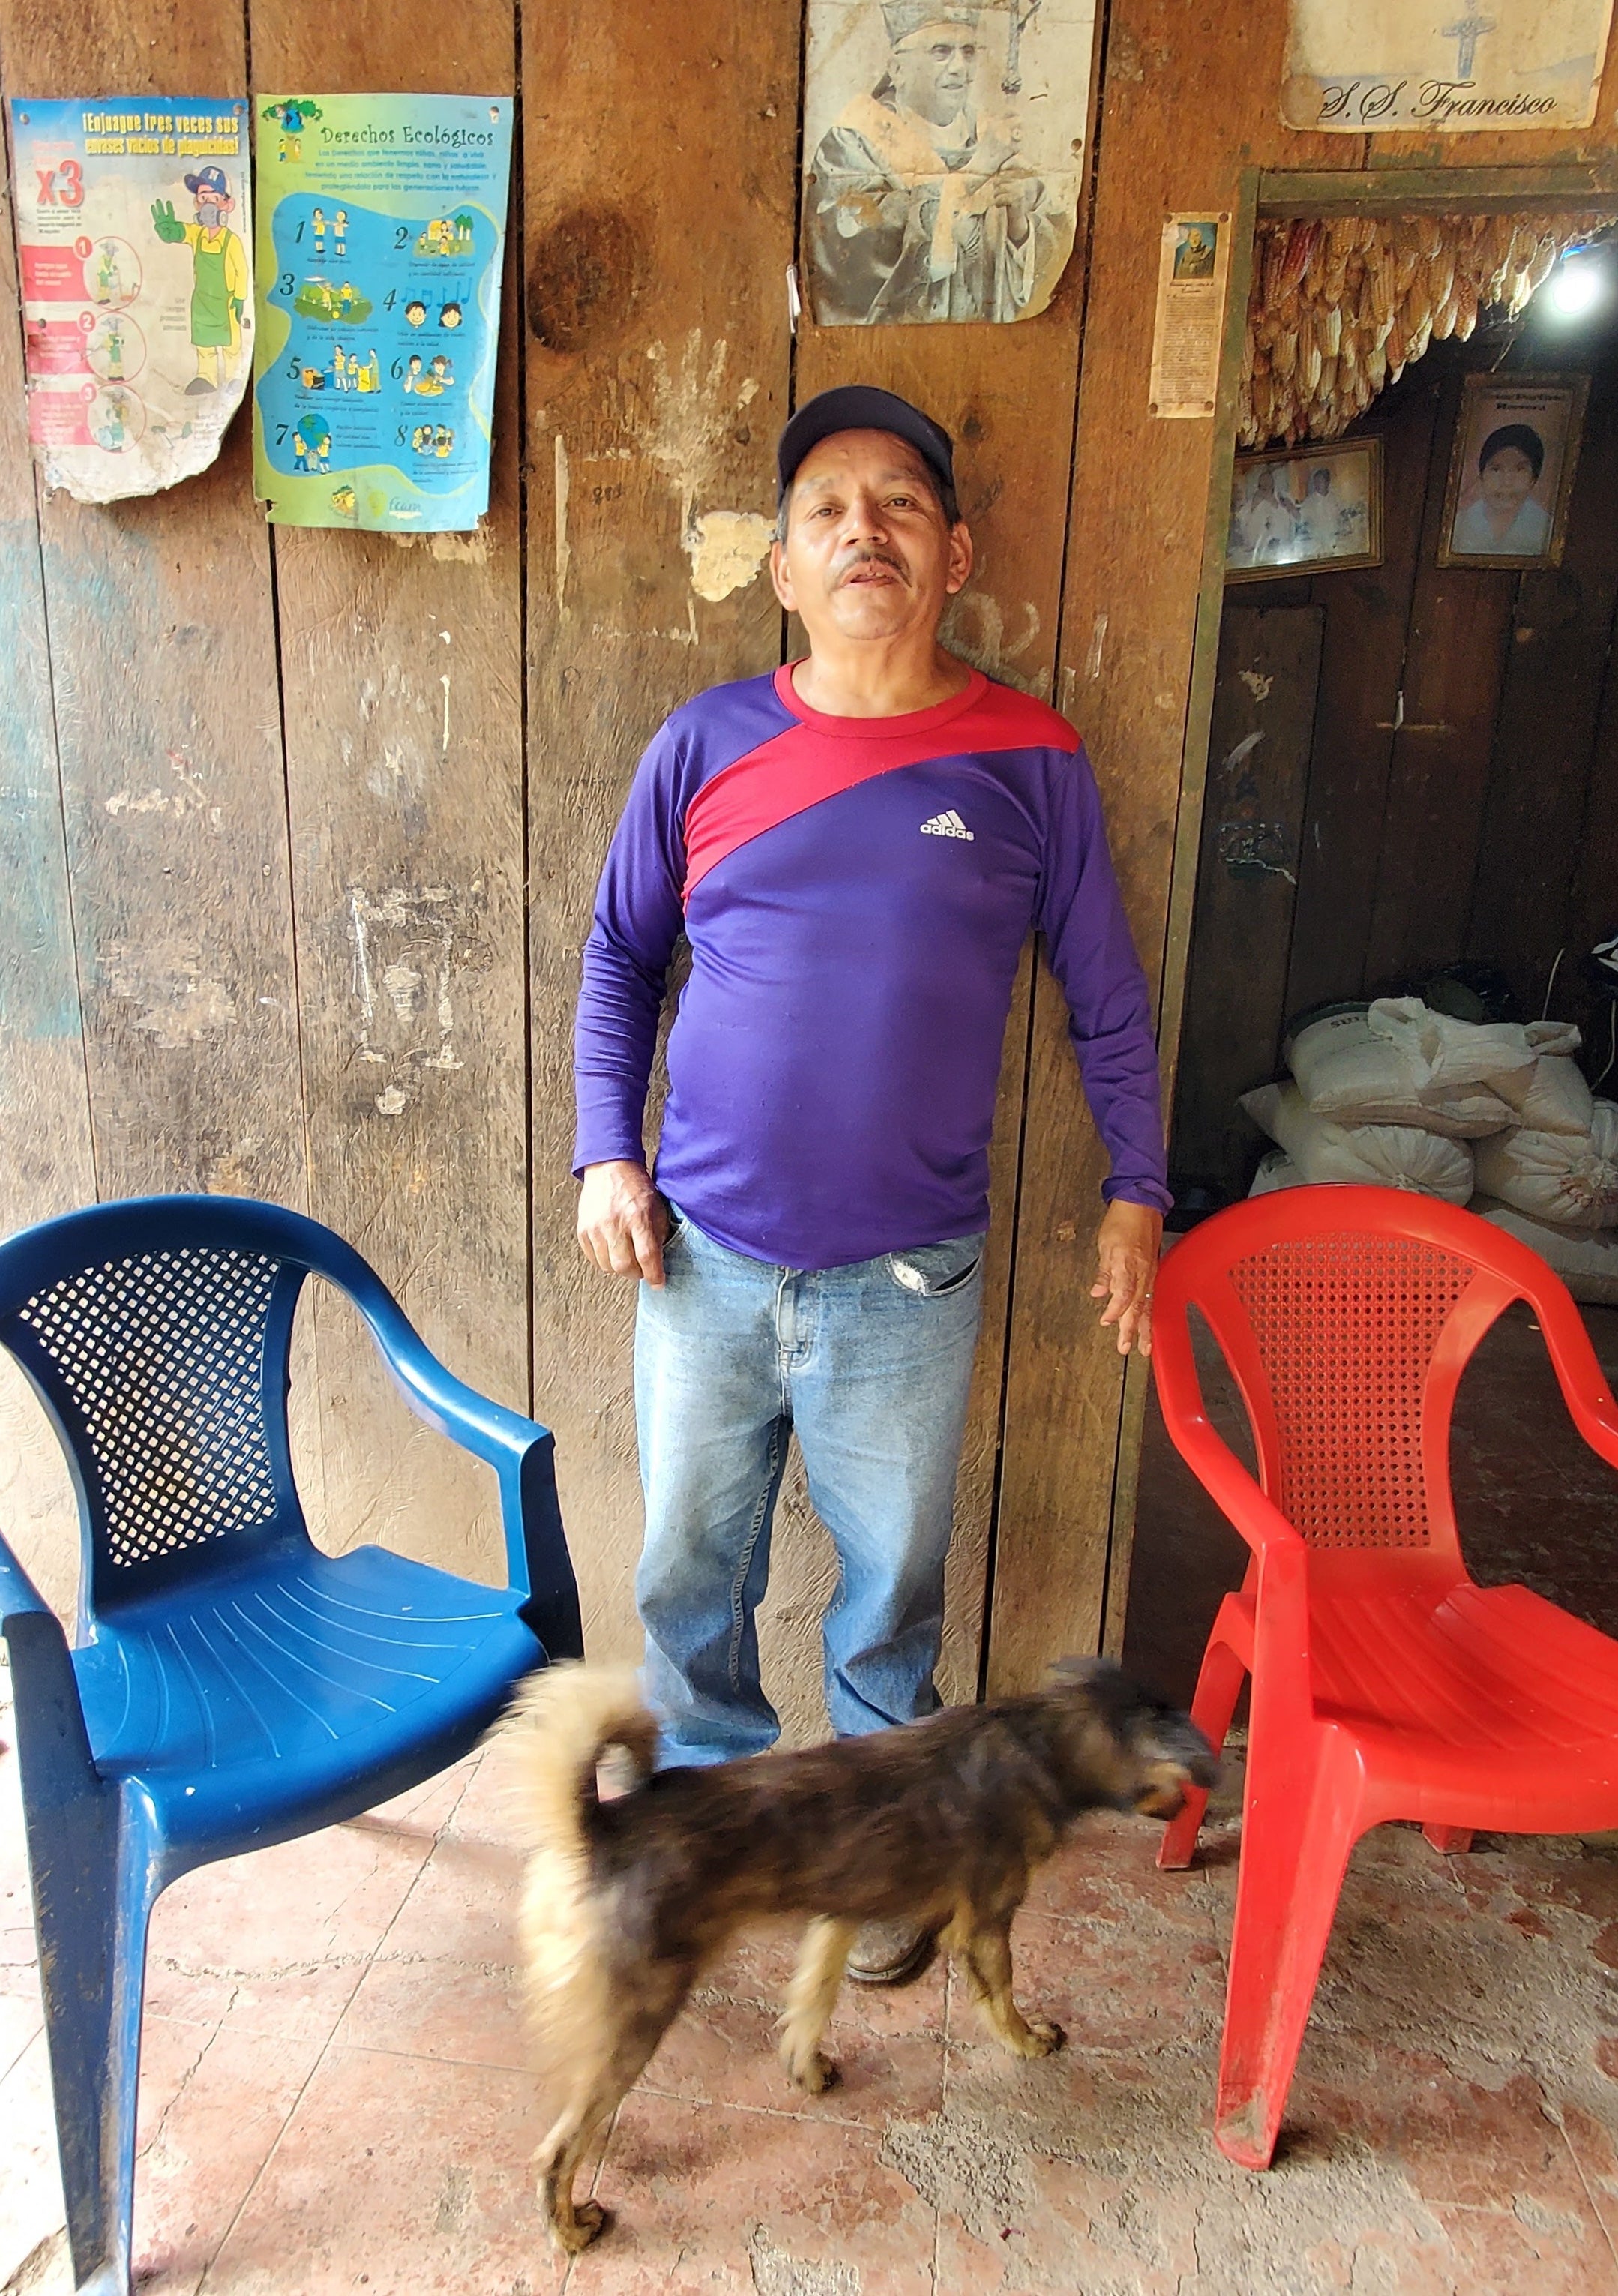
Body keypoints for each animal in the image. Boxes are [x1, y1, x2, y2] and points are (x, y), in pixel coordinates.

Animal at [491, 1662, 1212, 2250]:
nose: (1197, 1803)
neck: (1041, 1741)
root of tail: (599, 1826)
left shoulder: (840, 1912)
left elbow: (814, 1997)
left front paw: (806, 2068)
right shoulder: (986, 1923)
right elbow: (1003, 1993)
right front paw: (1030, 2040)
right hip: (639, 2010)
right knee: (557, 2149)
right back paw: (570, 2227)